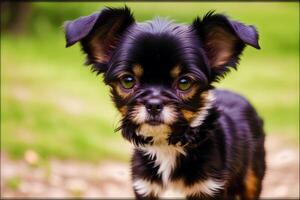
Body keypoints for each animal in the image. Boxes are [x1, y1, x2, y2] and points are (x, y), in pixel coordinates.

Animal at [64, 6, 266, 200]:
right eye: (128, 81)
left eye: (184, 82)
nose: (153, 104)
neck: (166, 147)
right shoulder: (145, 187)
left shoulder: (210, 188)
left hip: (252, 178)